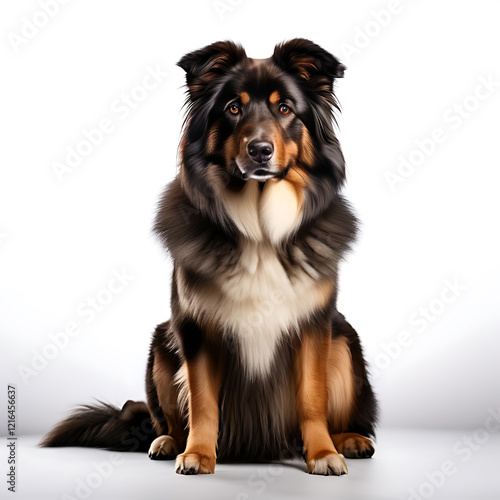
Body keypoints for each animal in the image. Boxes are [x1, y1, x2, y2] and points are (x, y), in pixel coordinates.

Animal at [42, 39, 378, 476]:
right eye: (233, 108)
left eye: (286, 108)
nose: (260, 150)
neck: (260, 228)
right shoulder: (196, 326)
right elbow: (202, 401)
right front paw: (199, 453)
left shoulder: (315, 325)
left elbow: (312, 397)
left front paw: (322, 453)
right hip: (162, 345)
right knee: (160, 417)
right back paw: (168, 441)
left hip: (344, 341)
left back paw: (350, 439)